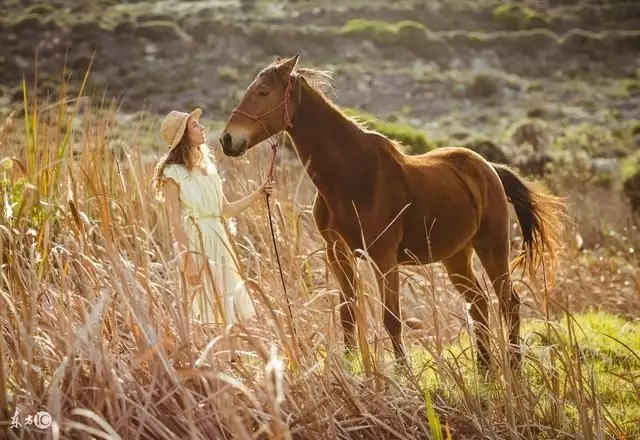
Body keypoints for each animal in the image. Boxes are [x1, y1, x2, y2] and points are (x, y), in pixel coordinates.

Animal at [218, 53, 568, 372]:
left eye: (263, 92)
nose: (227, 139)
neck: (352, 176)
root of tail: (490, 169)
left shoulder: (384, 257)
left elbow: (391, 319)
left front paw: (403, 375)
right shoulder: (338, 253)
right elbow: (348, 314)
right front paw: (353, 370)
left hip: (492, 248)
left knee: (508, 302)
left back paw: (513, 364)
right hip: (456, 256)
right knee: (478, 303)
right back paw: (484, 368)